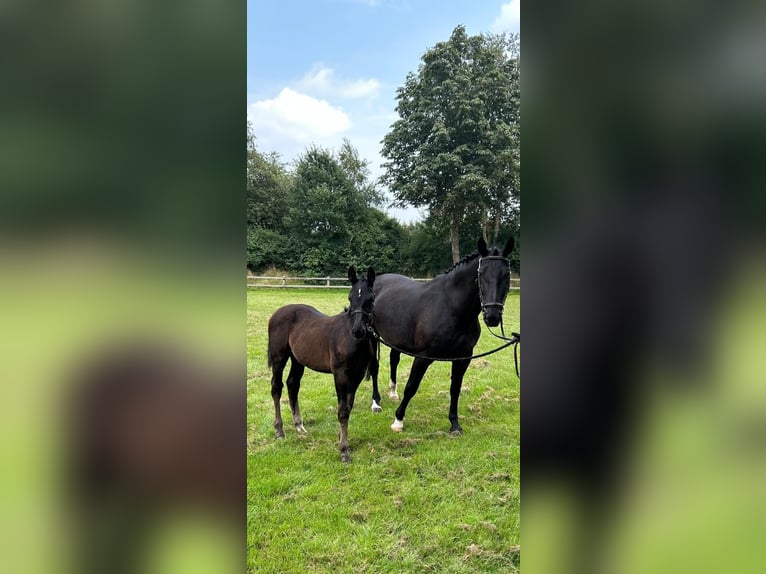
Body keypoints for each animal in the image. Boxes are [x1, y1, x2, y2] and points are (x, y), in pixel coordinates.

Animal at [268, 266, 380, 464]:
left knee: (292, 384)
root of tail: (277, 313)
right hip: (278, 358)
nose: (358, 331)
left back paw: (299, 425)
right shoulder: (341, 374)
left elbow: (348, 406)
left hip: (298, 359)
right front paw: (344, 450)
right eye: (350, 297)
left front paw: (341, 437)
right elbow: (342, 410)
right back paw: (279, 431)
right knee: (276, 387)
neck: (350, 338)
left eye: (371, 298)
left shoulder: (357, 375)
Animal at [372, 236, 516, 434]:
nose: (492, 316)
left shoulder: (463, 357)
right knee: (374, 367)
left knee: (394, 360)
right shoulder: (423, 356)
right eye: (481, 274)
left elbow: (455, 389)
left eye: (506, 275)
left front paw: (454, 424)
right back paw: (375, 403)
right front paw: (398, 421)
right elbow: (411, 386)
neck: (451, 307)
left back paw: (393, 393)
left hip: (397, 340)